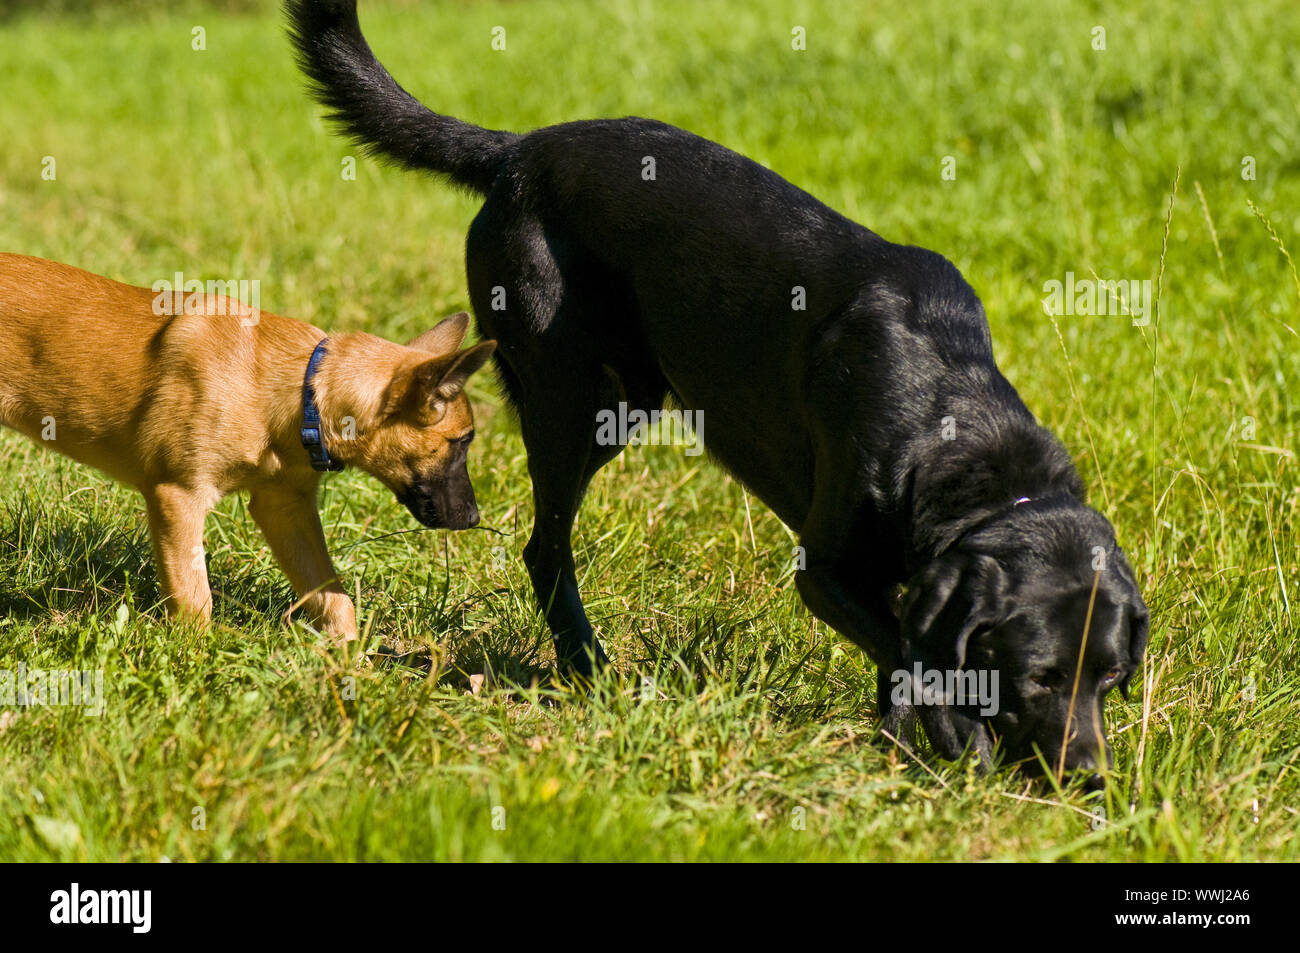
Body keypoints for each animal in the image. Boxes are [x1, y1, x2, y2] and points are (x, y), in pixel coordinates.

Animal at [0, 254, 496, 639]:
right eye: (460, 443)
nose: (473, 520)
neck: (301, 392)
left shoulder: (285, 509)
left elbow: (333, 596)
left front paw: (350, 663)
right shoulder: (178, 497)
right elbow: (195, 601)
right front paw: (193, 665)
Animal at [287, 0, 1149, 780]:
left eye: (1112, 674)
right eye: (1038, 673)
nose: (1091, 776)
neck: (959, 424)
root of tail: (517, 151)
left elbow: (905, 649)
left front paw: (905, 741)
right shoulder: (823, 568)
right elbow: (911, 647)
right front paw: (958, 737)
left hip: (626, 399)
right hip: (575, 400)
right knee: (545, 545)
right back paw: (589, 664)